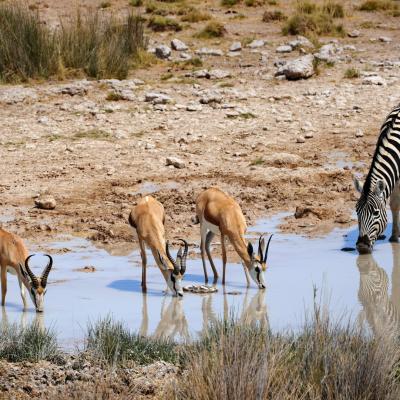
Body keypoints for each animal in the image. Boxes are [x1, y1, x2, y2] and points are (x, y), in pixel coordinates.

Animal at [356, 103, 400, 253]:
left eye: (376, 213)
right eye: (357, 212)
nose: (362, 247)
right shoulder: (395, 179)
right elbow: (394, 205)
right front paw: (394, 236)